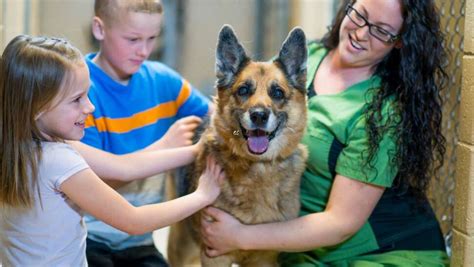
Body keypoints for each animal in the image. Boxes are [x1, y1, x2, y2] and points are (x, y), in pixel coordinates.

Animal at [168, 25, 310, 267]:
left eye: (277, 93)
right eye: (243, 90)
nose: (259, 116)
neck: (258, 168)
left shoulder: (264, 259)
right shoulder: (215, 256)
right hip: (182, 247)